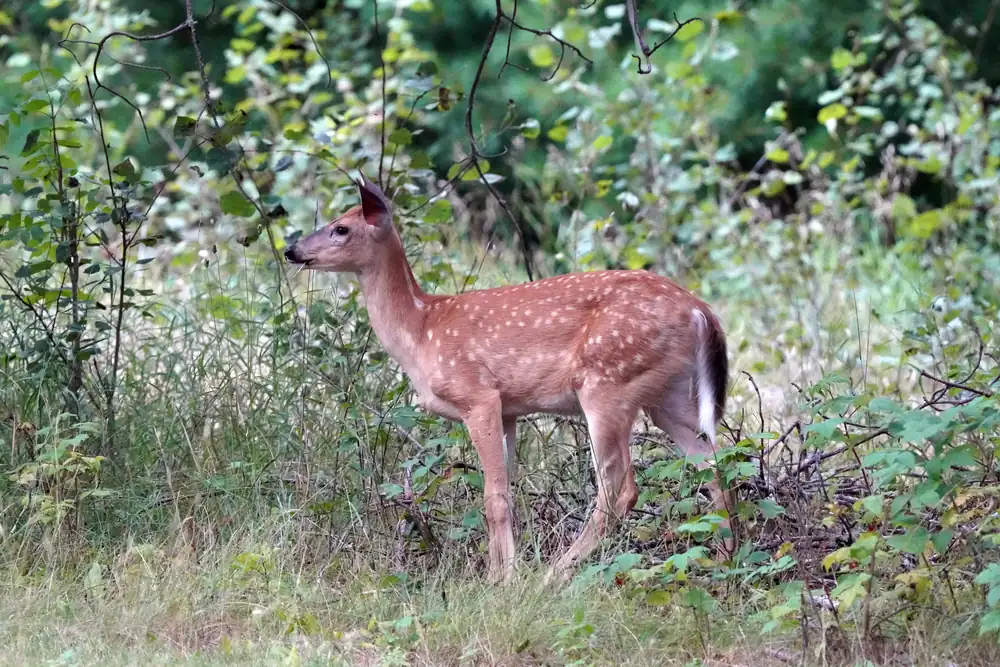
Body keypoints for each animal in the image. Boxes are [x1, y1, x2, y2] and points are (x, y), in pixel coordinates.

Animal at [284, 175, 733, 585]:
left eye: (341, 228)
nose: (292, 250)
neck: (421, 330)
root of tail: (699, 310)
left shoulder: (477, 396)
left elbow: (493, 498)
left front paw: (503, 580)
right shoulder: (509, 410)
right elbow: (507, 494)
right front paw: (502, 571)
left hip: (608, 383)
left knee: (620, 485)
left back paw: (555, 574)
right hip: (666, 396)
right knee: (714, 461)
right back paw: (726, 559)